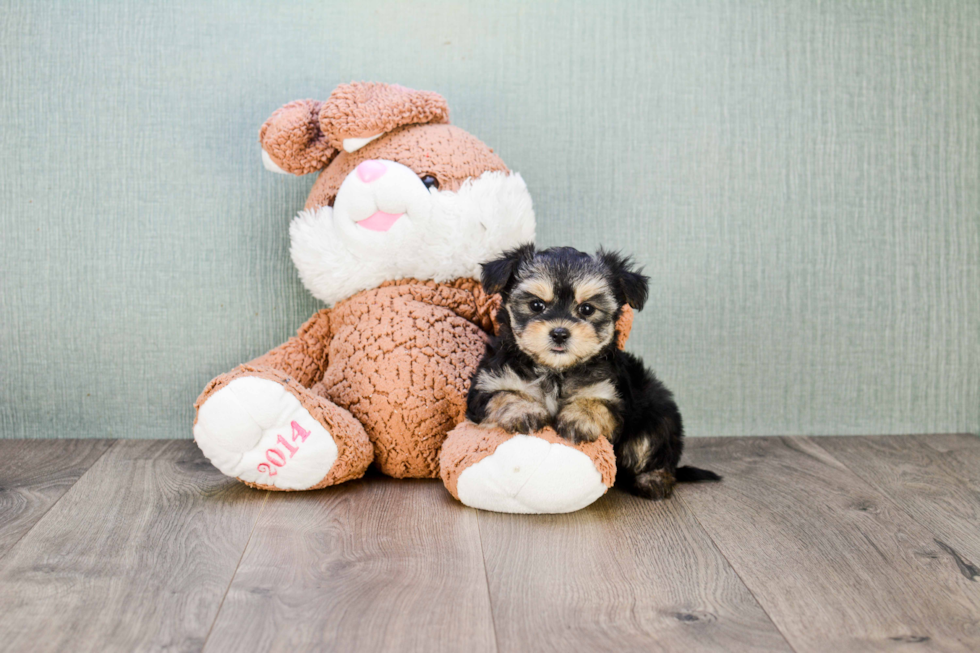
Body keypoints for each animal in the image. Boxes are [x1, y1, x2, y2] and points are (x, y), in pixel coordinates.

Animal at [464, 244, 716, 500]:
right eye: (536, 305)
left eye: (587, 309)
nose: (559, 333)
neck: (556, 370)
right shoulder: (488, 382)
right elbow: (502, 395)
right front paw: (524, 410)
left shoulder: (612, 394)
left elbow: (598, 404)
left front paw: (579, 417)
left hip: (657, 415)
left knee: (653, 447)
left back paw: (654, 480)